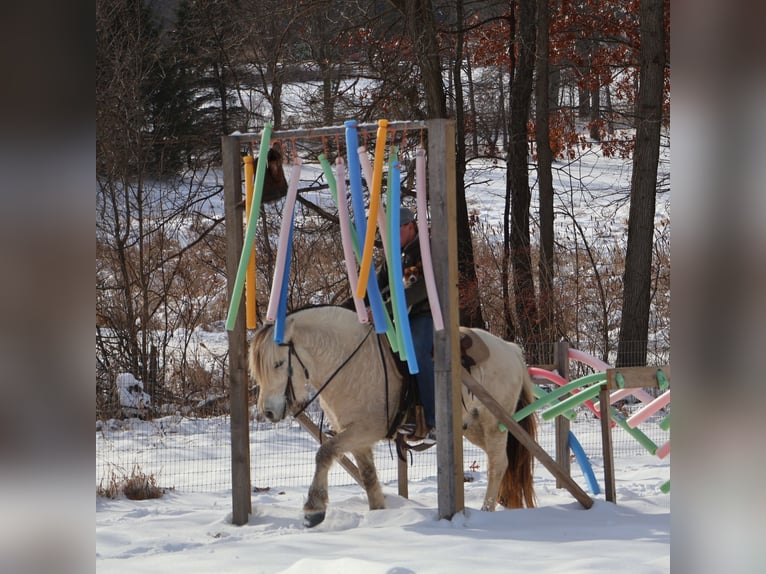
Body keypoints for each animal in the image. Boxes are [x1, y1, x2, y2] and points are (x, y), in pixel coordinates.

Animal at [248, 305, 537, 527]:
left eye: (278, 364)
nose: (268, 411)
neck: (350, 362)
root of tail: (511, 349)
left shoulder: (365, 429)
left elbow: (325, 453)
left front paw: (314, 509)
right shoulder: (356, 437)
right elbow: (367, 475)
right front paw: (378, 514)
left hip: (494, 423)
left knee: (498, 464)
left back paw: (488, 511)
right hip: (473, 427)